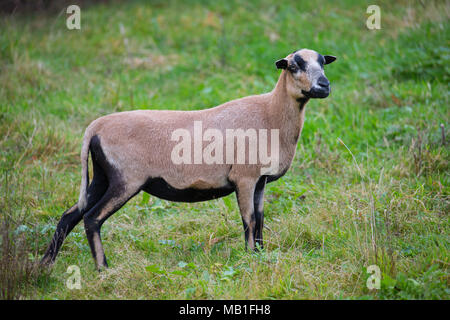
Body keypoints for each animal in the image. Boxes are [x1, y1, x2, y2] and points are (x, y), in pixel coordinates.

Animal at [41, 48, 334, 268]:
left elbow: (260, 219)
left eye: (323, 63)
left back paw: (46, 264)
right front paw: (251, 259)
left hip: (102, 175)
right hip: (125, 179)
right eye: (294, 65)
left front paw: (261, 256)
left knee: (69, 215)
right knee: (92, 218)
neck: (270, 114)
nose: (324, 85)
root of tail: (95, 128)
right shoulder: (244, 177)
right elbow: (249, 220)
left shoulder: (260, 180)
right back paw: (103, 268)